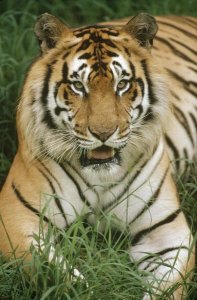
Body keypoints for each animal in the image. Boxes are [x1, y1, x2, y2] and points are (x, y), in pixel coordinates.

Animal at [0, 12, 196, 300]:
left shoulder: (167, 230)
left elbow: (168, 287)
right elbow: (64, 279)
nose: (104, 133)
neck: (101, 177)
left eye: (122, 84)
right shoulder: (16, 220)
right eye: (78, 86)